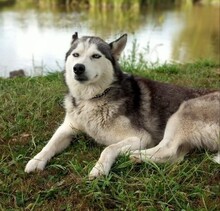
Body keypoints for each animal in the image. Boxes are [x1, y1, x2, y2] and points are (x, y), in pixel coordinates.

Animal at [24, 32, 220, 179]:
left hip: (182, 112)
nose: (78, 68)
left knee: (167, 150)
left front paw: (99, 169)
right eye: (76, 55)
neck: (92, 98)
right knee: (175, 157)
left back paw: (132, 155)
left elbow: (109, 148)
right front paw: (36, 161)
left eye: (96, 56)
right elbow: (50, 143)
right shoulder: (67, 127)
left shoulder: (142, 137)